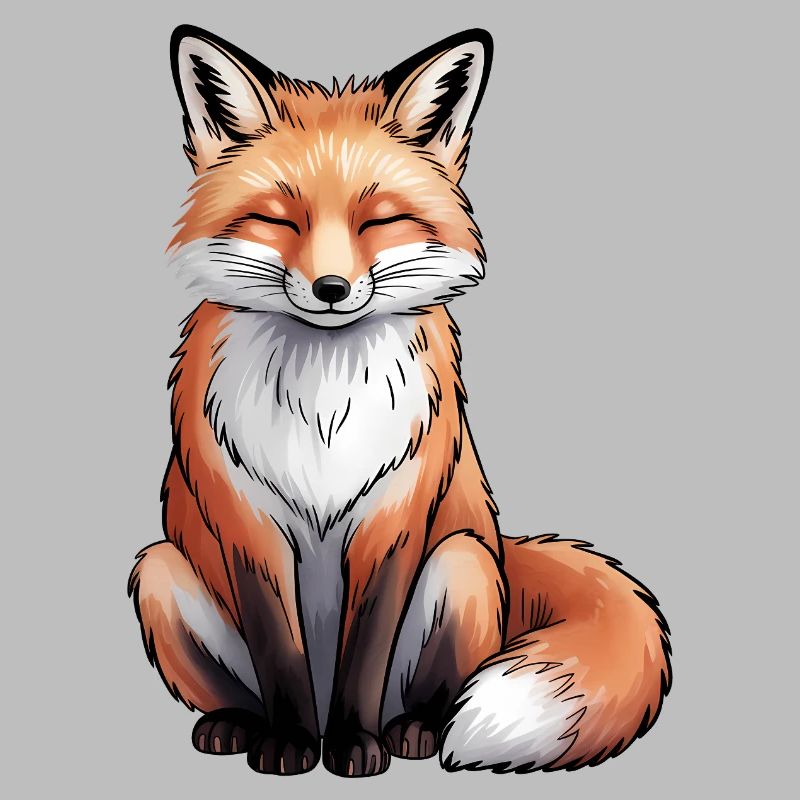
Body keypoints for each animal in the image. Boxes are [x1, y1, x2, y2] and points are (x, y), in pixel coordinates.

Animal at [128, 25, 671, 778]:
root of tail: (504, 547)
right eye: (277, 219)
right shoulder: (248, 525)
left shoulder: (393, 518)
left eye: (379, 221)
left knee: (432, 696)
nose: (330, 288)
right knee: (237, 687)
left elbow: (366, 650)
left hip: (463, 563)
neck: (324, 410)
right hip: (158, 569)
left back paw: (409, 733)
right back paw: (238, 725)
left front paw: (353, 746)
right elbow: (279, 649)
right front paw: (292, 746)